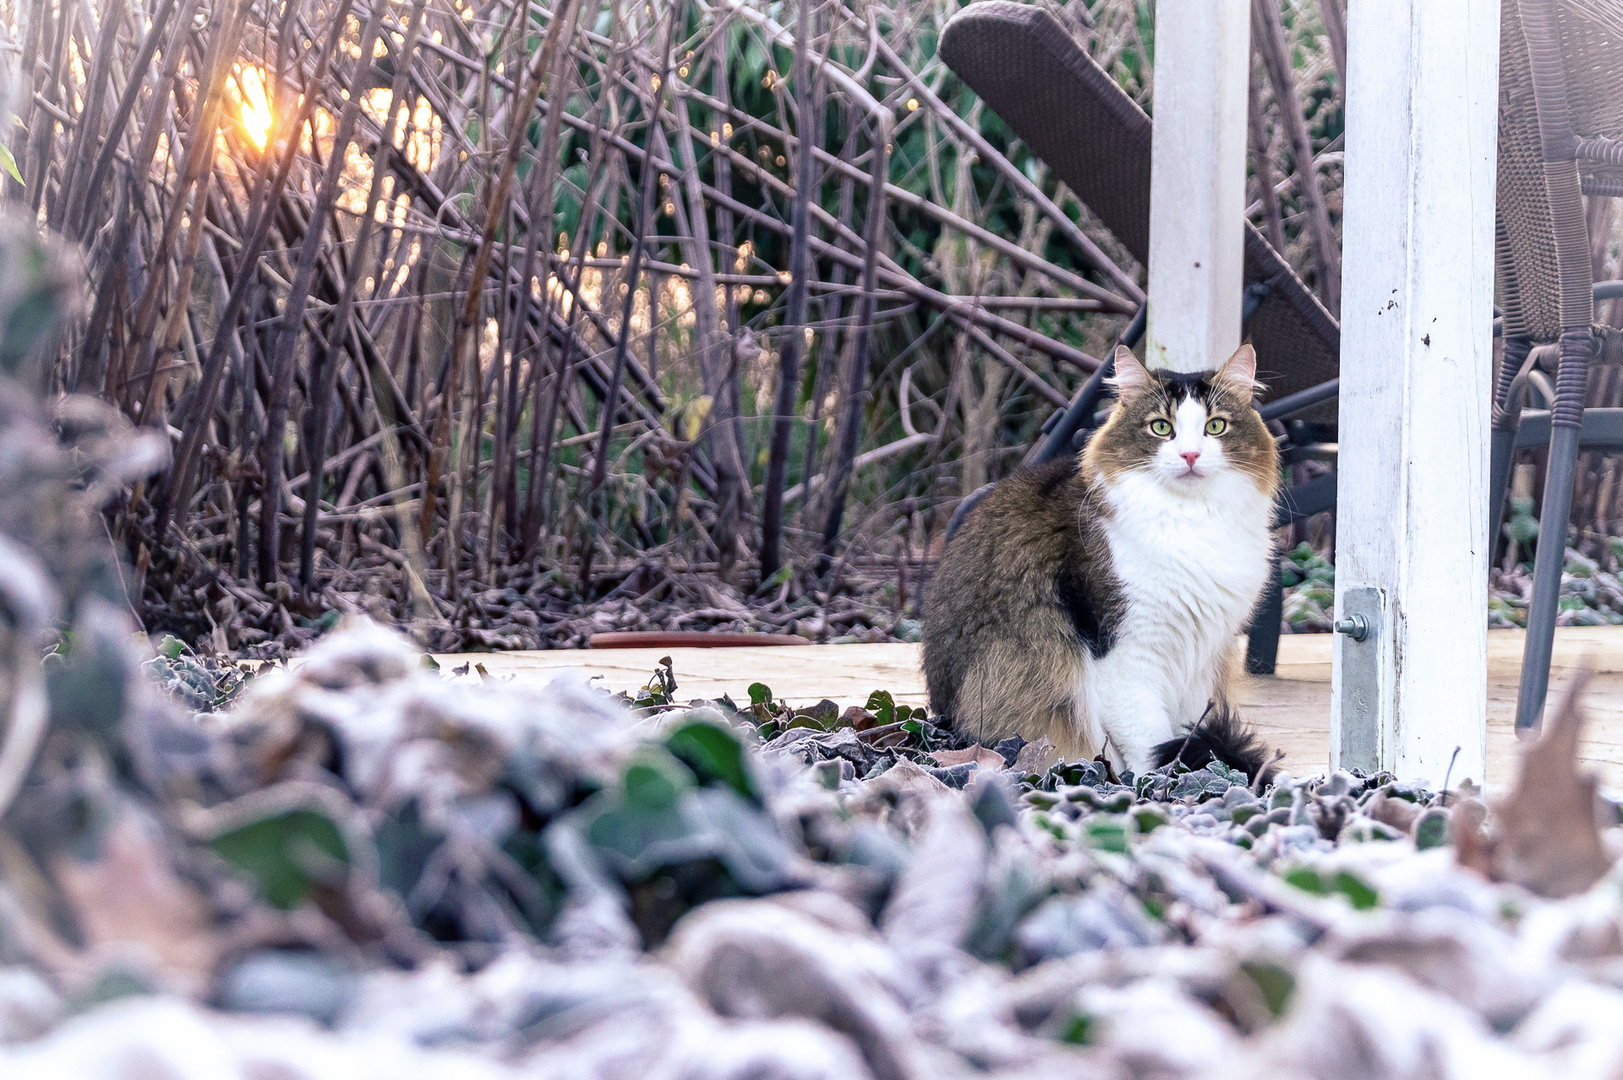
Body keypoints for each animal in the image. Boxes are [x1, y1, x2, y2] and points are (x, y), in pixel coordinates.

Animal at [928, 342, 1278, 776]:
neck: (1192, 520)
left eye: (1215, 427)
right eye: (1161, 427)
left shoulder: (1200, 656)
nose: (1190, 455)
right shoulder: (1124, 652)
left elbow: (1190, 723)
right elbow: (1148, 737)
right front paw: (1152, 782)